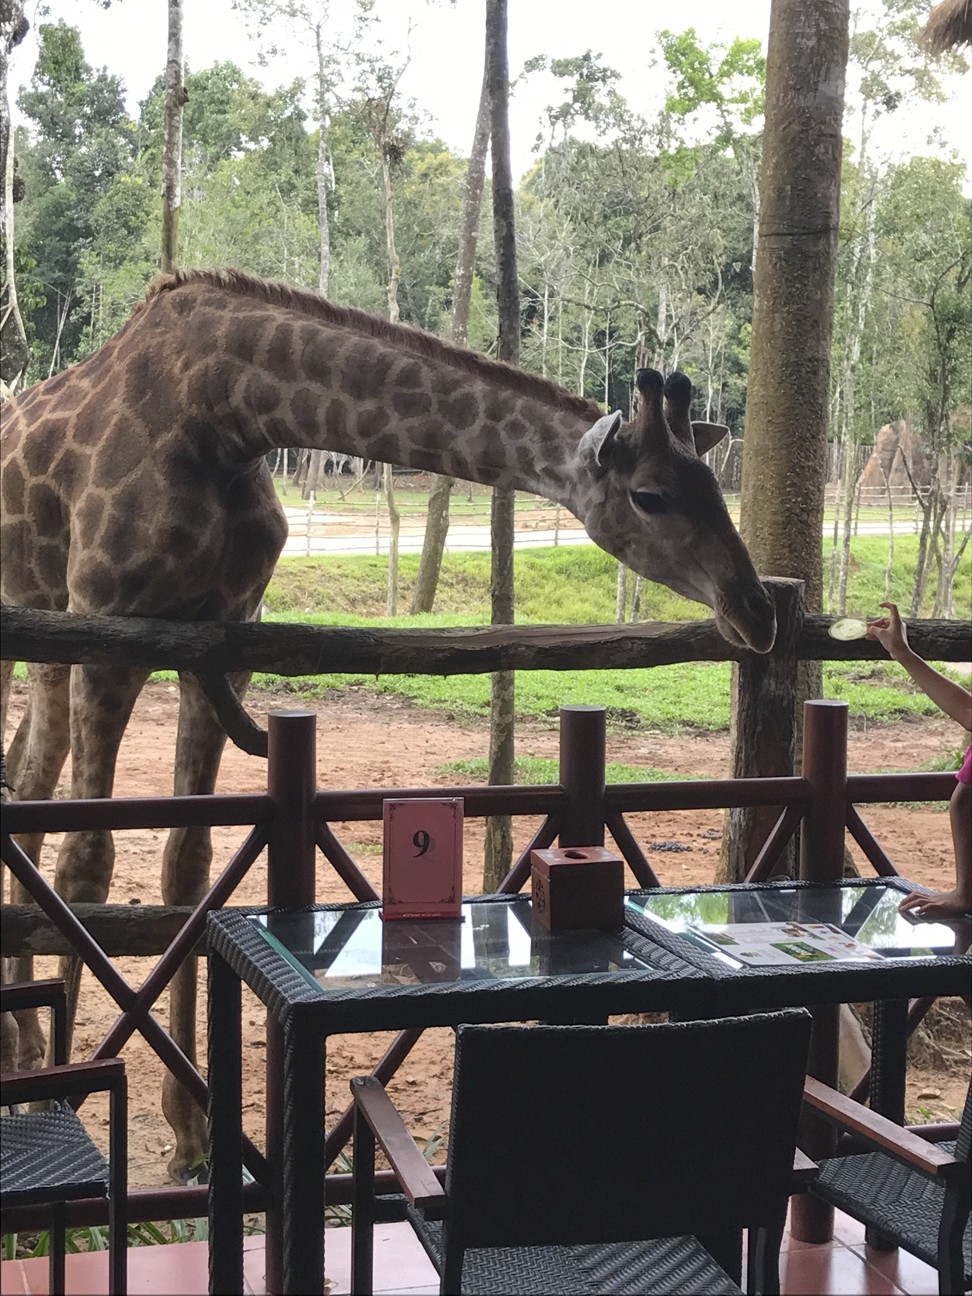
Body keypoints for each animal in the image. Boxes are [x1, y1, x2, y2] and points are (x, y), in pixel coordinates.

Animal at [0, 268, 777, 1181]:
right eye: (651, 495)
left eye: (716, 485)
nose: (756, 611)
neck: (227, 412)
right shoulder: (111, 628)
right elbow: (87, 863)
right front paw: (58, 1100)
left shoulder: (221, 639)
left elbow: (186, 865)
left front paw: (193, 1135)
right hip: (43, 622)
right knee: (39, 798)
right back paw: (28, 1059)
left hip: (47, 630)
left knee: (27, 777)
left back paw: (21, 1043)